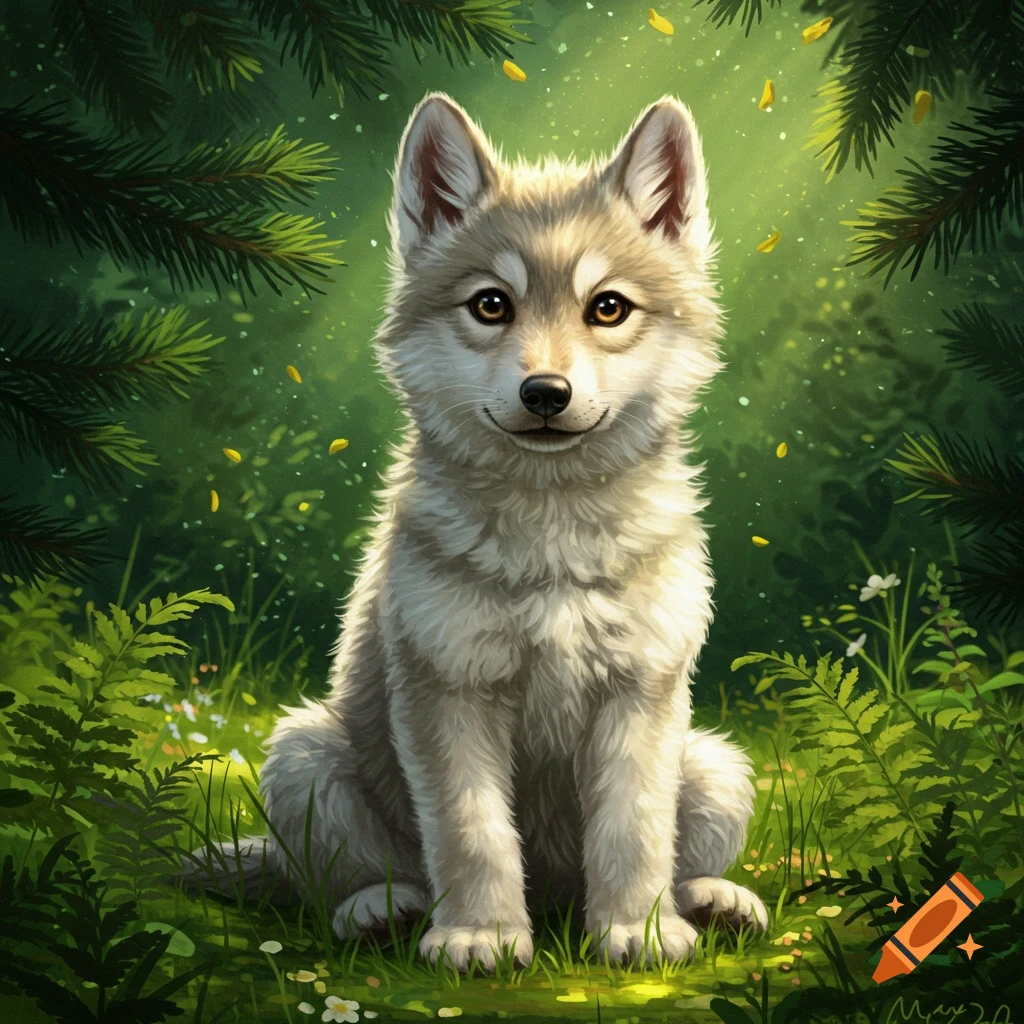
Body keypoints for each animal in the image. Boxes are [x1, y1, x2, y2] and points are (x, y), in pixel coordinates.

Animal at [208, 91, 768, 971]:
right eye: (490, 304)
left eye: (607, 308)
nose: (545, 392)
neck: (552, 536)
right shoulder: (448, 688)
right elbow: (473, 832)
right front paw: (481, 936)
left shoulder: (641, 691)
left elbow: (635, 831)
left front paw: (636, 932)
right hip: (303, 755)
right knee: (337, 880)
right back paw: (382, 912)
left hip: (716, 767)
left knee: (681, 853)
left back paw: (712, 902)